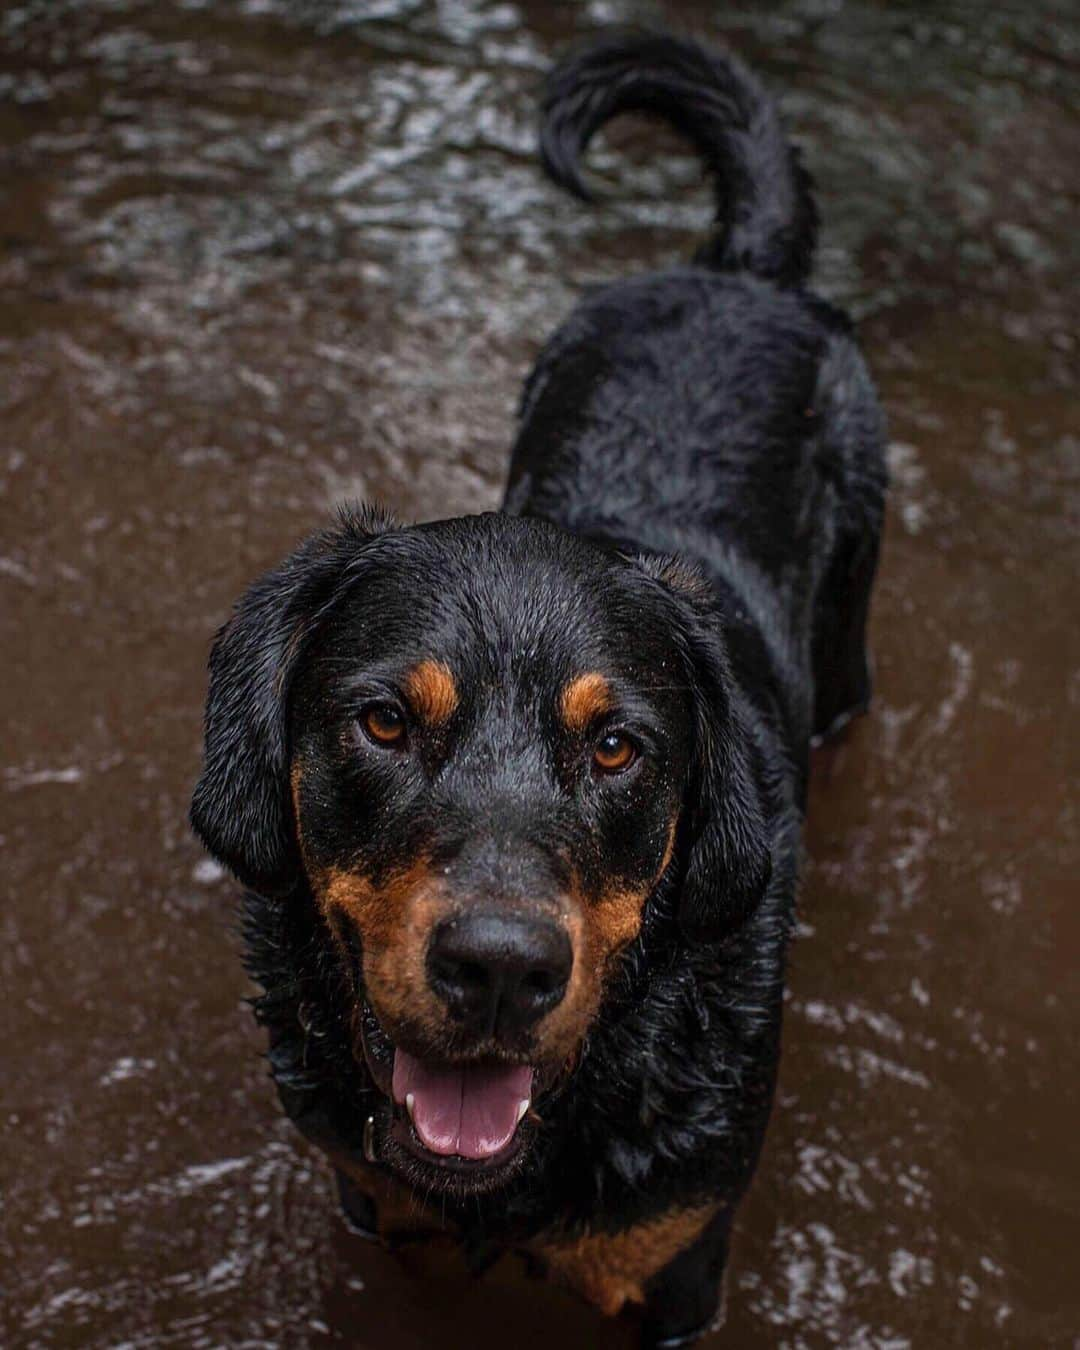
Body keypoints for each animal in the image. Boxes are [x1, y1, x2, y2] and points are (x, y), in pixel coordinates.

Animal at [191, 31, 885, 1350]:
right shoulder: (377, 1214)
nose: (503, 968)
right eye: (383, 722)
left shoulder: (676, 1259)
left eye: (618, 747)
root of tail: (733, 272)